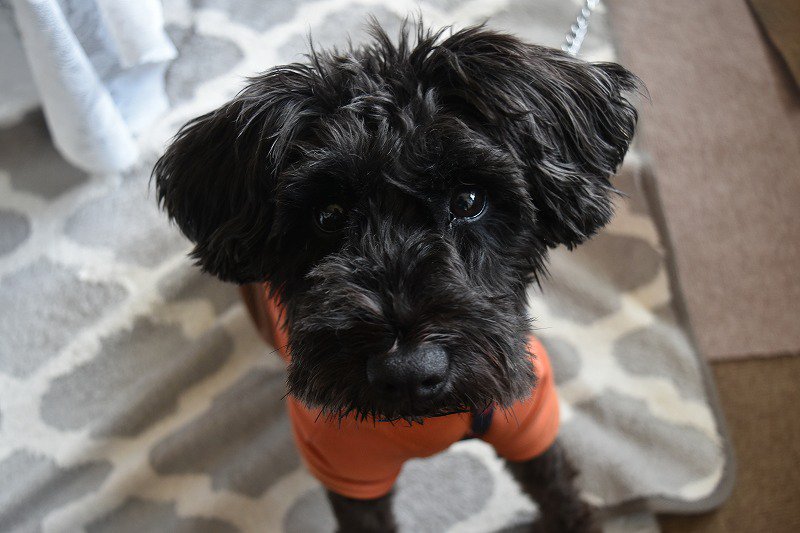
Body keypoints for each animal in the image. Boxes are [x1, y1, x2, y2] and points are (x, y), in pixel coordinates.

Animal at [154, 21, 638, 532]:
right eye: (328, 216)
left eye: (468, 199)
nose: (408, 372)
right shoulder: (346, 468)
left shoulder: (528, 424)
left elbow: (558, 490)